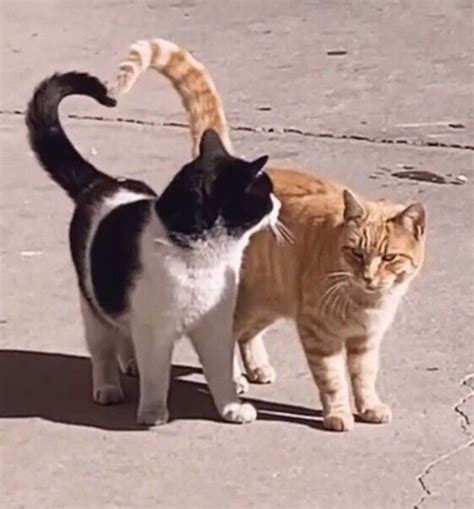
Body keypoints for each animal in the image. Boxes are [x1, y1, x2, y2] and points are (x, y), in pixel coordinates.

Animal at [26, 71, 282, 424]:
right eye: (265, 194)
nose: (280, 204)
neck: (203, 259)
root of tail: (102, 183)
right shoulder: (155, 331)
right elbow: (157, 376)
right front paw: (153, 413)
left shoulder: (215, 327)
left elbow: (222, 375)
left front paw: (231, 408)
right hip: (93, 307)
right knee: (103, 350)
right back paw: (108, 387)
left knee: (124, 336)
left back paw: (130, 364)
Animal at [109, 38, 428, 428]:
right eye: (355, 253)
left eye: (389, 257)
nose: (368, 276)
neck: (366, 301)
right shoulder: (318, 335)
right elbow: (332, 380)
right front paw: (338, 413)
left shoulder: (366, 342)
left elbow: (364, 376)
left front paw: (369, 406)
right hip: (245, 301)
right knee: (230, 337)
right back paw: (231, 378)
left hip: (268, 301)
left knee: (246, 334)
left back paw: (256, 367)